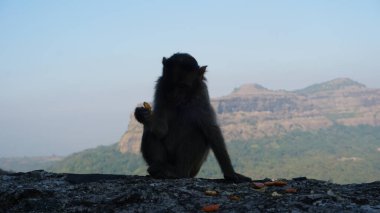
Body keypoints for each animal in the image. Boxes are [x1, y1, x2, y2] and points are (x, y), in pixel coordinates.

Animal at [134, 52, 252, 182]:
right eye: (171, 85)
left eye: (182, 86)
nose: (173, 96)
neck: (183, 101)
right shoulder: (160, 88)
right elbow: (161, 130)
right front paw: (143, 115)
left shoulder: (202, 94)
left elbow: (211, 129)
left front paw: (230, 173)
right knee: (149, 131)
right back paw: (159, 169)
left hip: (193, 169)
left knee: (198, 133)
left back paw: (177, 172)